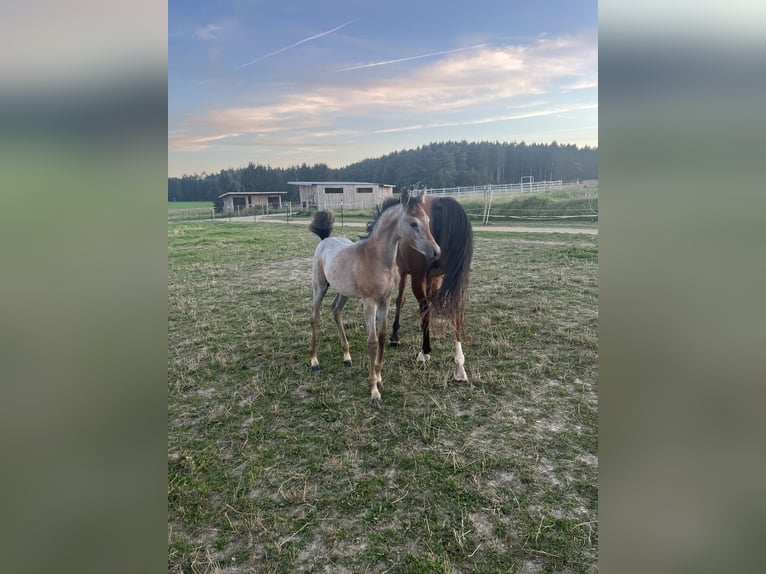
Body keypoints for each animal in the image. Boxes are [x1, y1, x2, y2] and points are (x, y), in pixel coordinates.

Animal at [308, 189, 440, 404]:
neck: (378, 259)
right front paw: (373, 391)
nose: (436, 252)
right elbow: (372, 341)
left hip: (344, 291)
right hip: (319, 287)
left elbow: (383, 335)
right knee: (315, 318)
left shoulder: (385, 301)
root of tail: (324, 240)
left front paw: (378, 378)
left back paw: (347, 356)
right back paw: (314, 361)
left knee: (336, 311)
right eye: (413, 223)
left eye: (428, 220)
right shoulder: (369, 303)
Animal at [368, 197, 474, 382]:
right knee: (455, 312)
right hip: (456, 280)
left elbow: (400, 300)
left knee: (425, 306)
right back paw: (459, 365)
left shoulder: (402, 272)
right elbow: (431, 301)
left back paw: (425, 351)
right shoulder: (435, 277)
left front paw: (395, 335)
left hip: (418, 279)